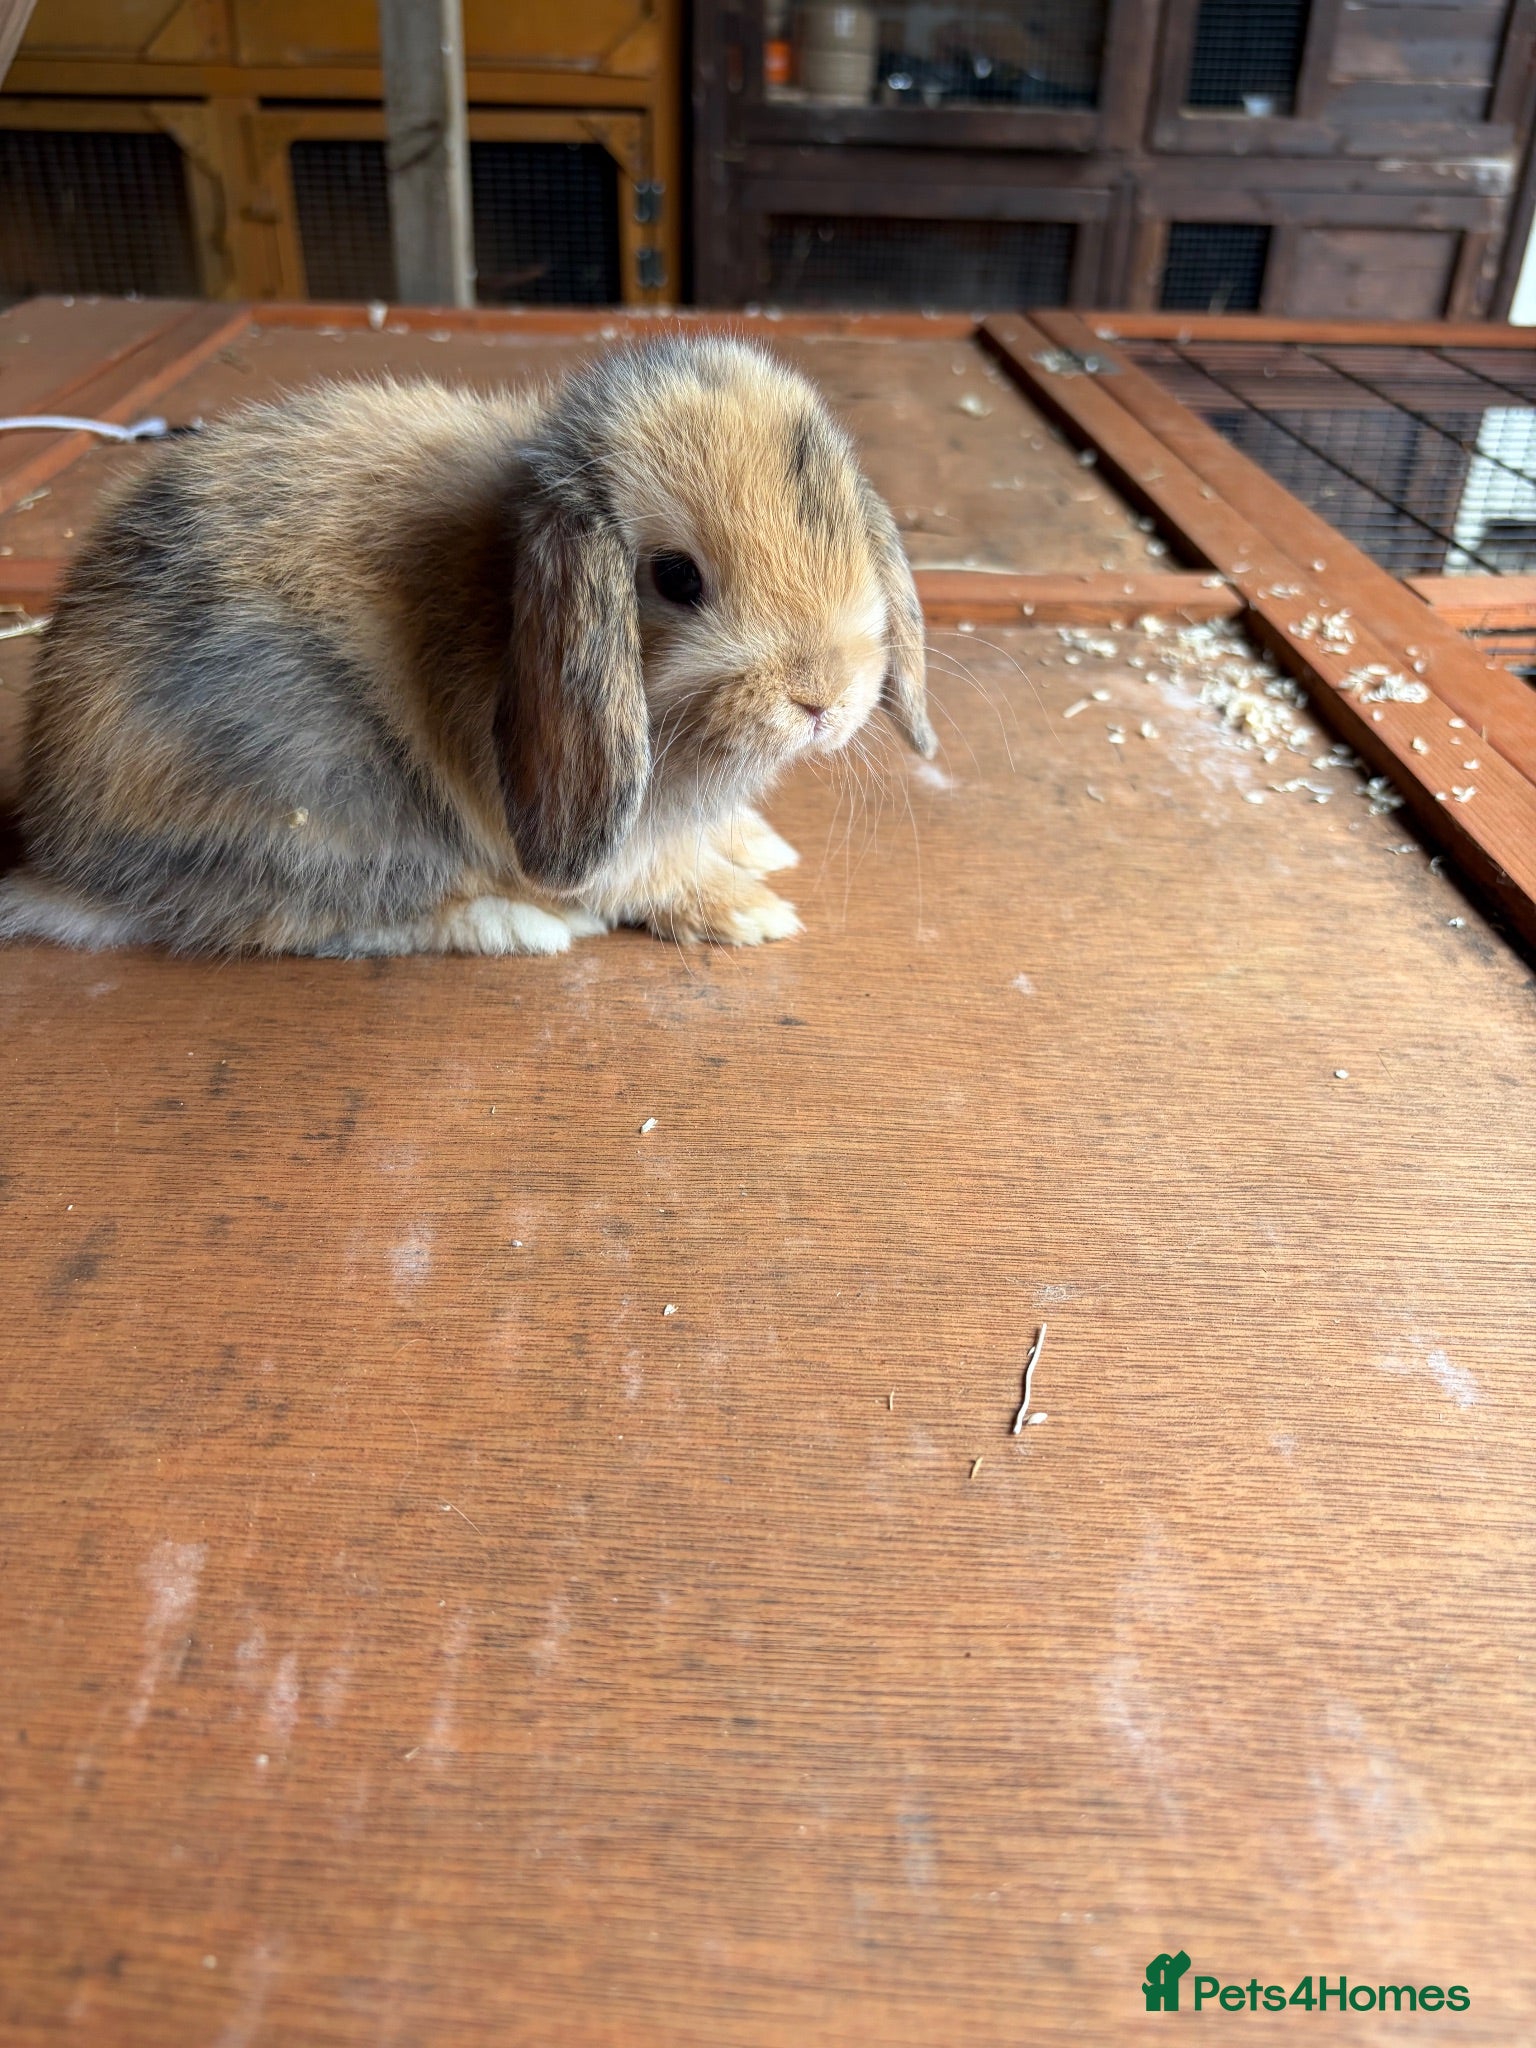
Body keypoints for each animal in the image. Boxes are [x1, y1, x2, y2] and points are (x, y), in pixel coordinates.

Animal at [0, 337, 933, 958]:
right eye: (675, 577)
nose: (823, 698)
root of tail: (59, 851)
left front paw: (759, 844)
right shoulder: (609, 837)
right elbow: (653, 877)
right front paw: (749, 912)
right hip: (326, 794)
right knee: (328, 916)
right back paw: (527, 924)